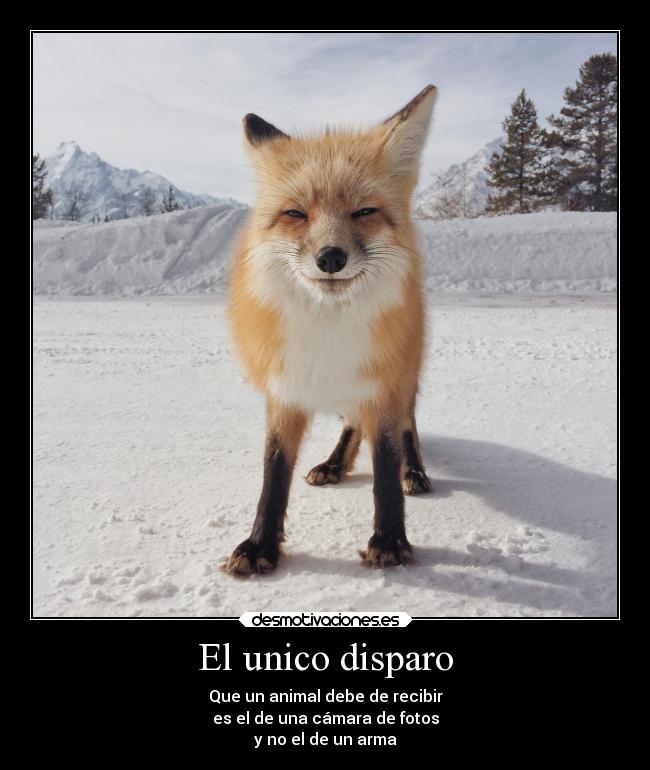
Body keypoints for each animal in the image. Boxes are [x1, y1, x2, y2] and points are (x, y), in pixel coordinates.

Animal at [224, 85, 437, 577]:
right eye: (295, 213)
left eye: (363, 211)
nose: (330, 258)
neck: (328, 334)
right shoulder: (285, 390)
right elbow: (274, 473)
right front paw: (260, 545)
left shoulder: (385, 386)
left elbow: (385, 469)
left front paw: (390, 541)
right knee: (352, 425)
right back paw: (335, 463)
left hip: (404, 378)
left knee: (409, 427)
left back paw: (415, 472)